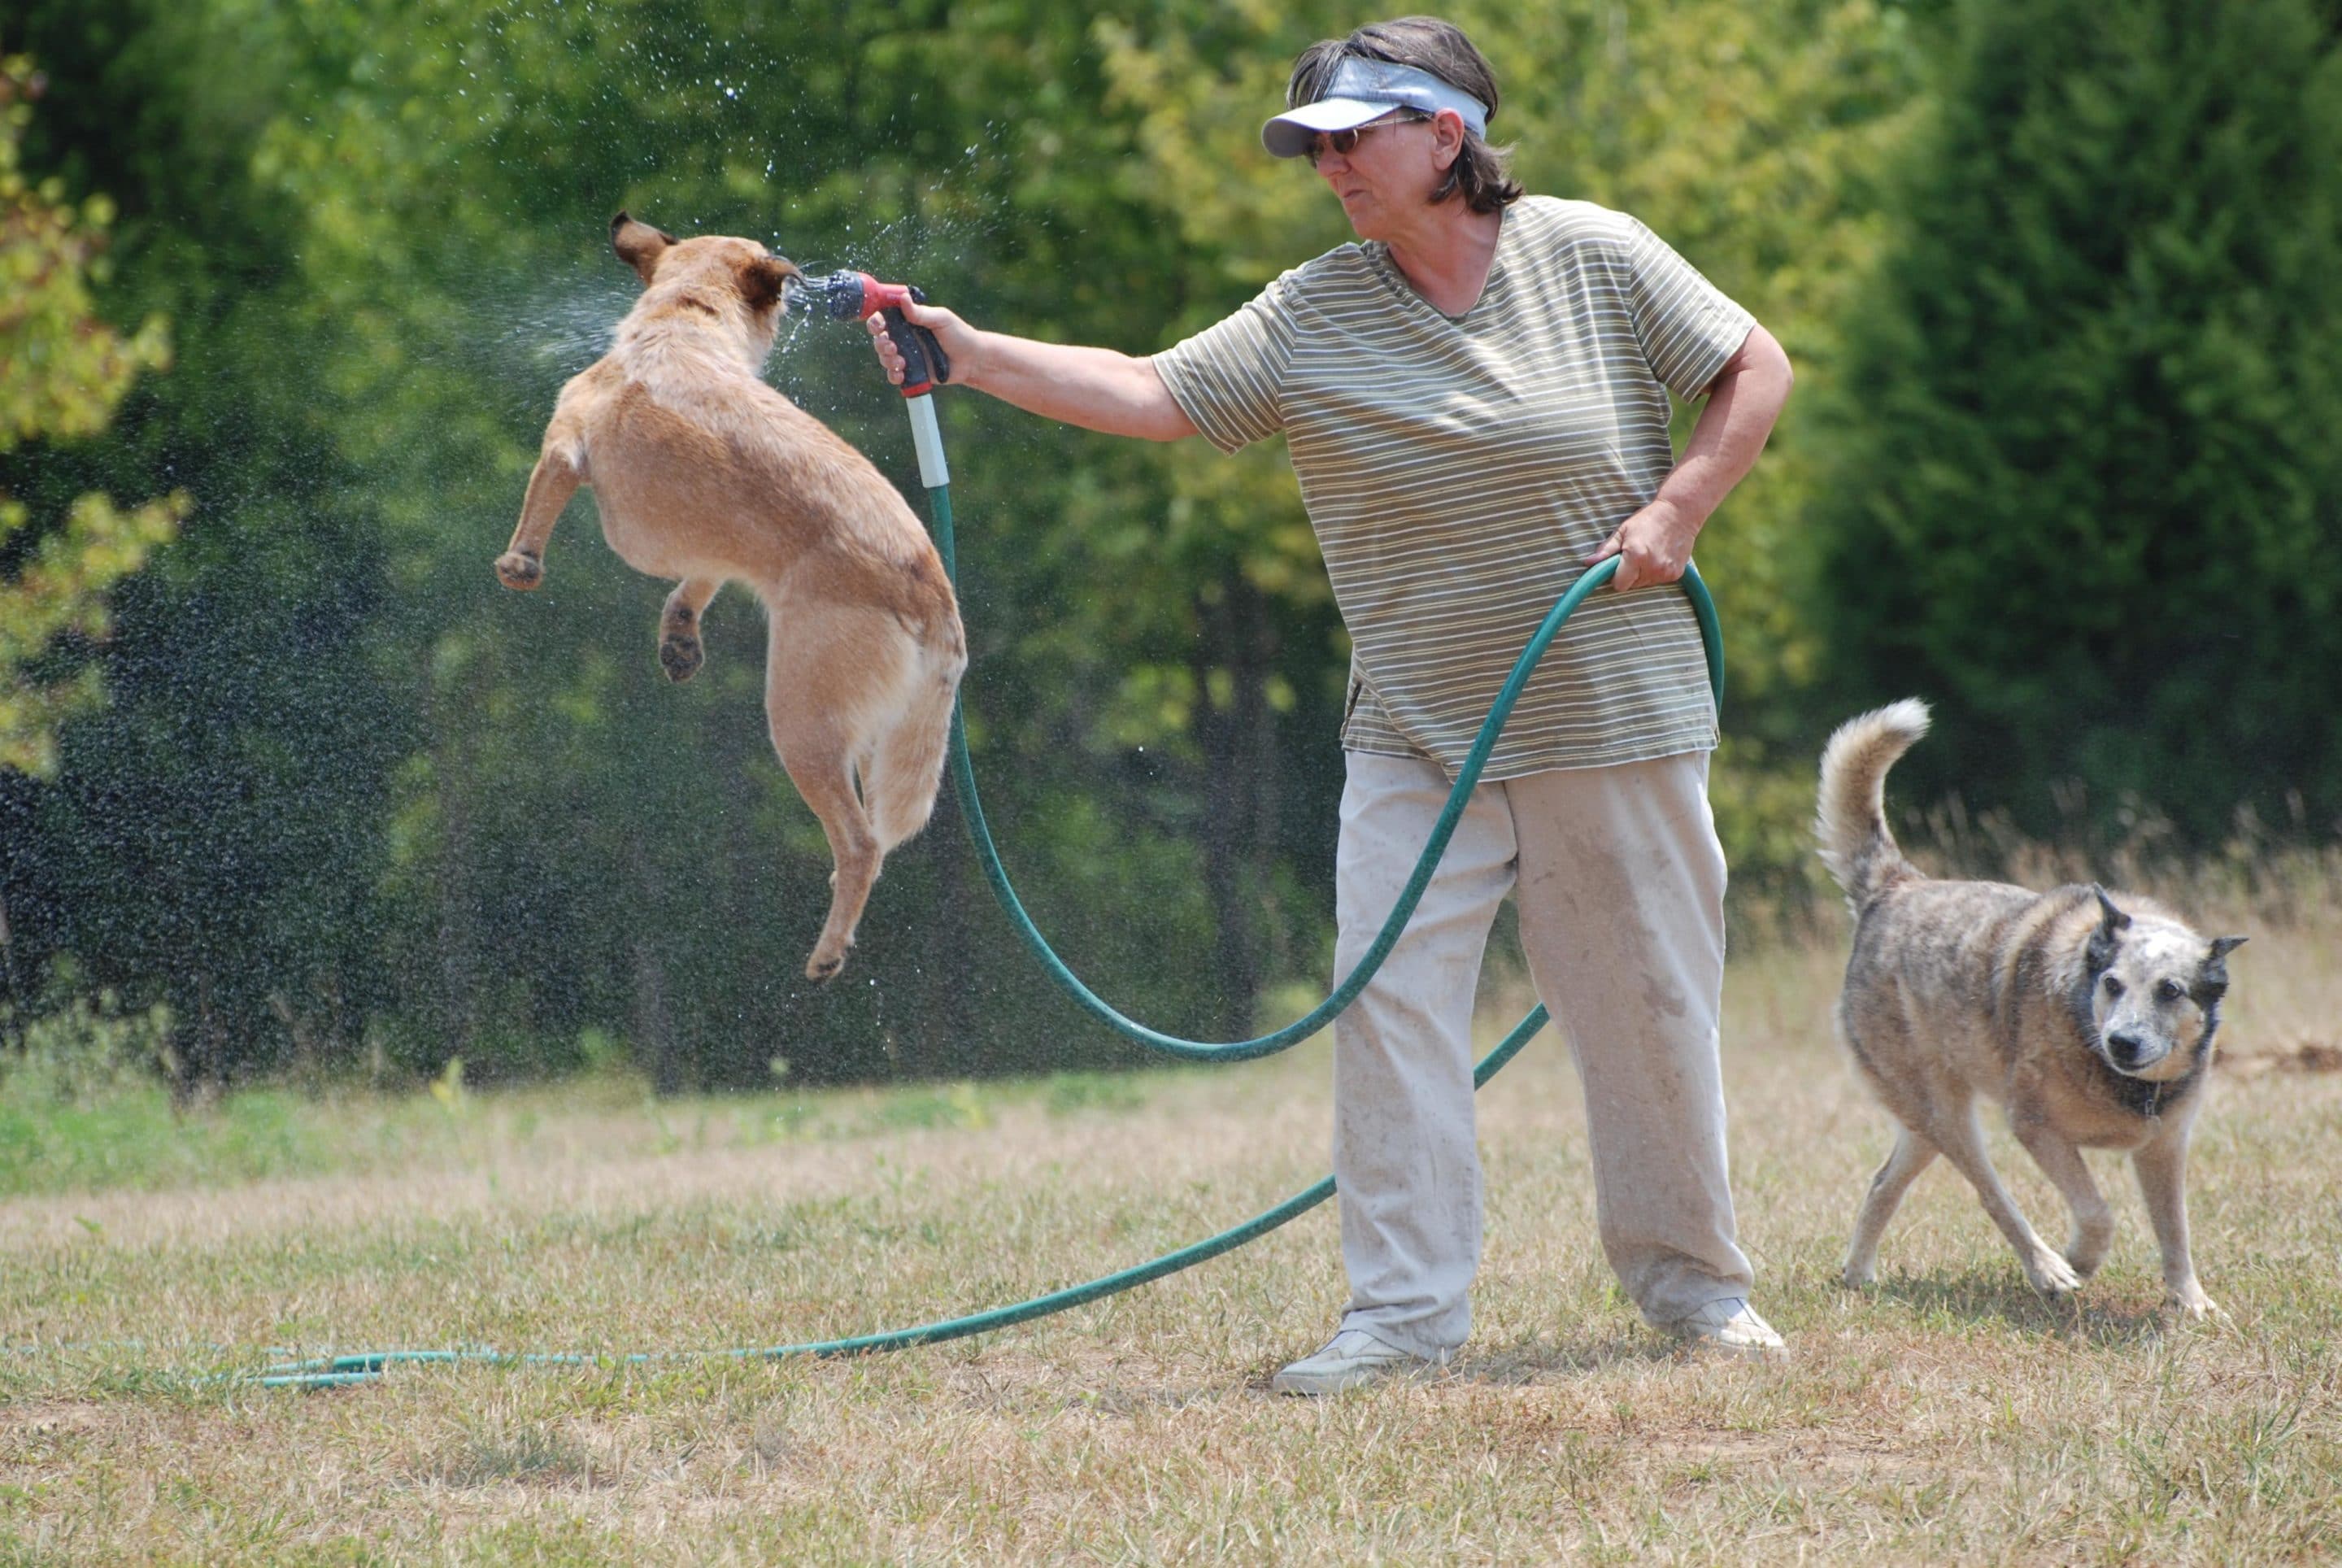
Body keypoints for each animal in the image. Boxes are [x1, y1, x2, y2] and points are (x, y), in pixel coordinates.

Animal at [494, 211, 969, 979]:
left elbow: (541, 501)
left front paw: (520, 563)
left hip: (801, 721)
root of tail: (936, 596)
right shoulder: (721, 551)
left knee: (861, 842)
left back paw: (828, 951)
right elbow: (699, 583)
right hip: (883, 741)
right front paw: (680, 639)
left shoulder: (566, 439)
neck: (687, 318)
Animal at [1817, 703, 2239, 1312]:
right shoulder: (2035, 1127)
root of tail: (1894, 888)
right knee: (1993, 1196)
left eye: (2171, 991)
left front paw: (2192, 1303)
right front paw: (2080, 1260)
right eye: (2112, 984)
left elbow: (2175, 1229)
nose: (2123, 1042)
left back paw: (1858, 1274)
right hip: (1949, 1116)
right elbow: (2097, 1212)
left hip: (1923, 1122)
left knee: (1881, 1180)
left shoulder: (2165, 1149)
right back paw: (2047, 1271)